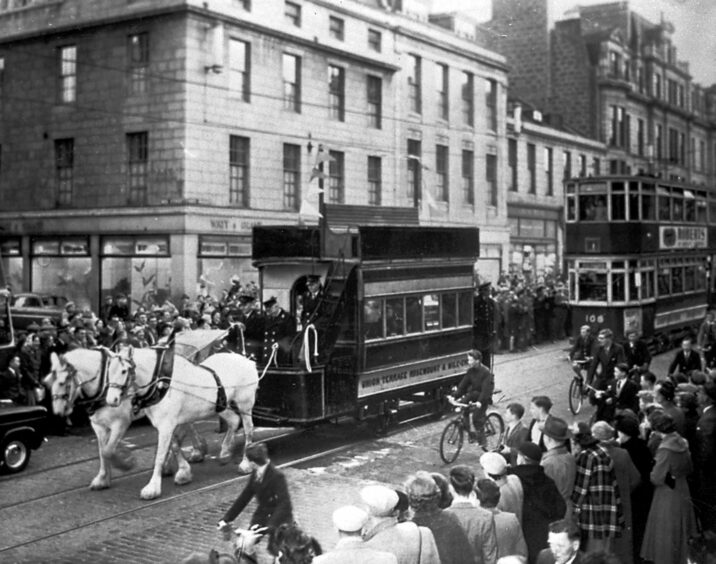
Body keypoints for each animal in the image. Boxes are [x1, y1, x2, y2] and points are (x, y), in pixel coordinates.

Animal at [46, 350, 207, 492]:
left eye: (62, 382)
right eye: (48, 382)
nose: (57, 412)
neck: (102, 389)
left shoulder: (120, 423)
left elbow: (108, 450)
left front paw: (126, 463)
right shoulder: (98, 425)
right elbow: (102, 451)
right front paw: (103, 478)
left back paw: (196, 452)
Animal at [110, 348, 258, 498]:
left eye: (123, 371)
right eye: (108, 369)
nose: (112, 400)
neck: (162, 386)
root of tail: (247, 361)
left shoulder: (166, 425)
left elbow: (160, 455)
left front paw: (153, 488)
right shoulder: (169, 423)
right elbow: (175, 445)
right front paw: (183, 473)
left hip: (245, 405)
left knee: (248, 430)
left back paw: (245, 464)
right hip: (221, 406)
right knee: (234, 421)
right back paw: (225, 453)